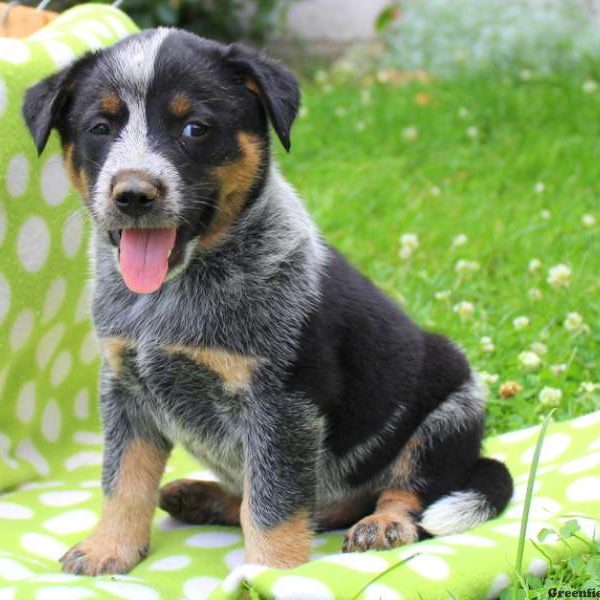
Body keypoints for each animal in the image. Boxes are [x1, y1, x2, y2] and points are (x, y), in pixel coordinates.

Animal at [23, 29, 510, 576]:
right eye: (100, 127)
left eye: (195, 128)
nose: (133, 194)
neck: (171, 296)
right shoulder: (126, 390)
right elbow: (122, 480)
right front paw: (109, 546)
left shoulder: (282, 406)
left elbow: (274, 504)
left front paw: (267, 573)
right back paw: (200, 497)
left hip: (452, 406)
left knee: (399, 491)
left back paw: (383, 524)